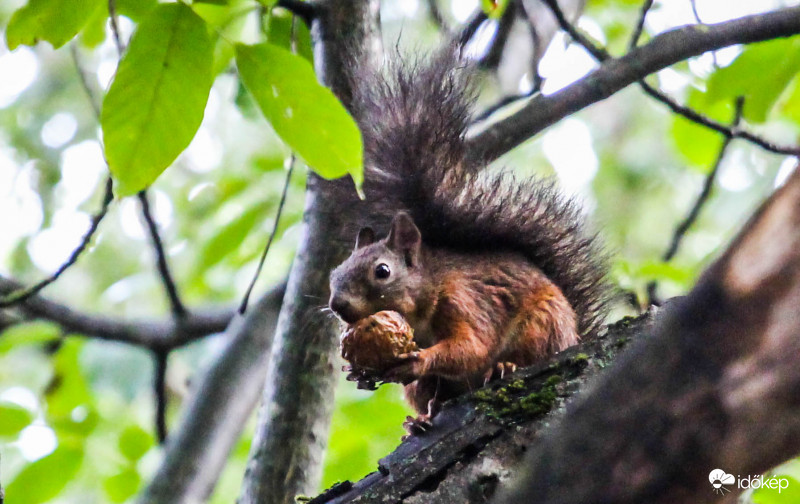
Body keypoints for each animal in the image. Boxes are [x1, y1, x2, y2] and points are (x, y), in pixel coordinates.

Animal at [328, 49, 608, 432]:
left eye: (382, 271)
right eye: (334, 274)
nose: (337, 305)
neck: (423, 303)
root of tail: (577, 336)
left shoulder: (465, 301)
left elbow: (472, 346)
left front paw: (420, 358)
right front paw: (357, 371)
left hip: (544, 324)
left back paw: (506, 366)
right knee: (431, 394)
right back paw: (421, 420)